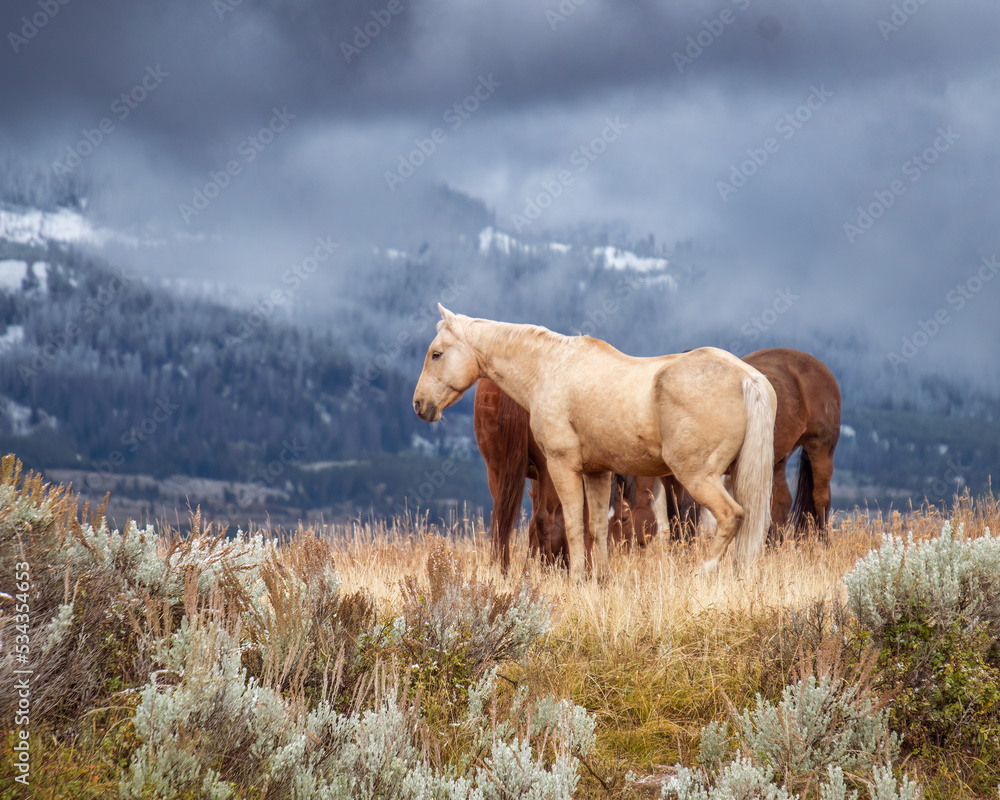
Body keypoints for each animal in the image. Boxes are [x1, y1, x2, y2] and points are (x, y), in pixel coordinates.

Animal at [414, 306, 777, 580]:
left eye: (436, 354)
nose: (419, 404)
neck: (550, 368)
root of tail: (747, 377)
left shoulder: (562, 466)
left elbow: (574, 523)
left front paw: (576, 578)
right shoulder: (597, 473)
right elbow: (598, 526)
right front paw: (600, 576)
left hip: (698, 477)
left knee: (732, 515)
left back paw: (703, 571)